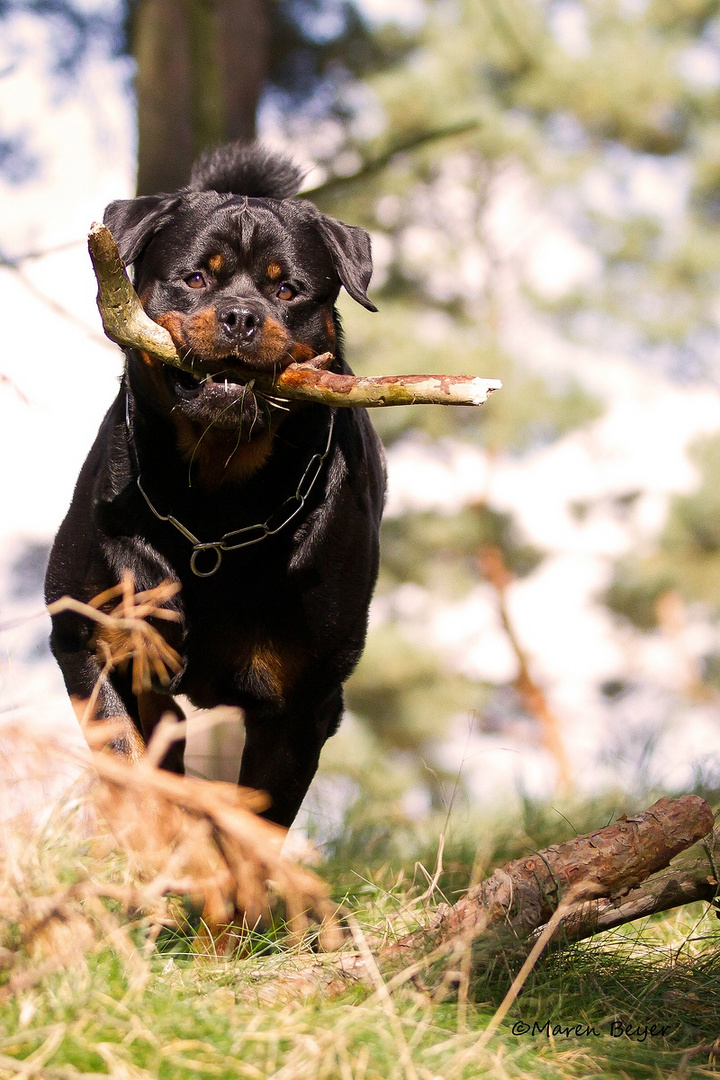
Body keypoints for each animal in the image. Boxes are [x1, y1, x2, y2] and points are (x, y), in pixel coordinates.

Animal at [45, 145, 386, 825]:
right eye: (197, 278)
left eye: (287, 290)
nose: (241, 316)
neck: (215, 508)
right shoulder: (86, 640)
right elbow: (127, 767)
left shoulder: (303, 702)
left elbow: (254, 823)